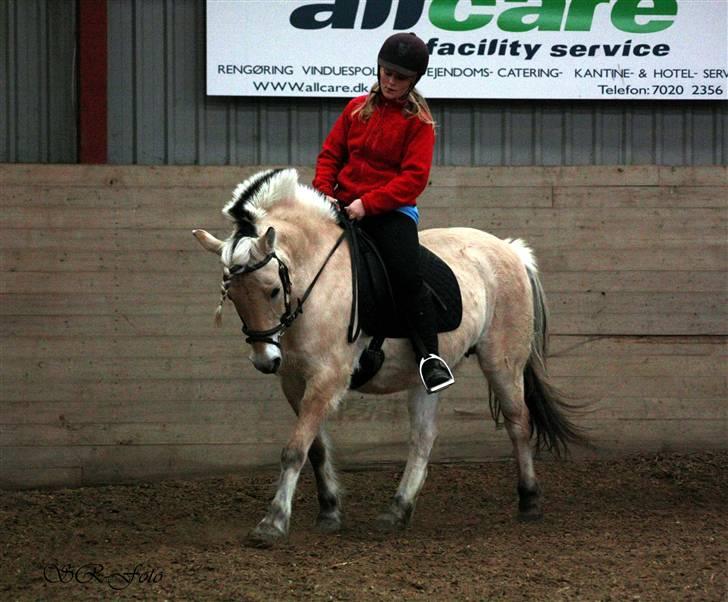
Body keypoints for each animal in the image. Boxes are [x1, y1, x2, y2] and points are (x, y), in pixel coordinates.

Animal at [192, 166, 584, 548]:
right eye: (232, 296)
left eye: (273, 290)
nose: (264, 360)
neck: (314, 283)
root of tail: (509, 249)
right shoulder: (293, 381)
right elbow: (315, 448)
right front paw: (329, 512)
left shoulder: (328, 378)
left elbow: (295, 448)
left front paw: (272, 523)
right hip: (425, 377)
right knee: (423, 437)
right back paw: (397, 510)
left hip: (502, 362)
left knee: (518, 422)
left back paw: (529, 501)